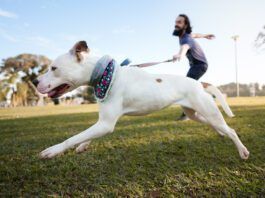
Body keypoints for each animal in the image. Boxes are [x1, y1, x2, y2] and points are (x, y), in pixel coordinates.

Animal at [36, 41, 249, 160]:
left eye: (53, 68)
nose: (35, 81)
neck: (106, 74)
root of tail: (199, 83)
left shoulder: (105, 124)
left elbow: (73, 137)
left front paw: (53, 150)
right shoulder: (102, 123)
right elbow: (85, 135)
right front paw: (83, 146)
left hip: (208, 111)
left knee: (231, 130)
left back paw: (242, 151)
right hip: (196, 113)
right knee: (214, 125)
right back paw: (219, 133)